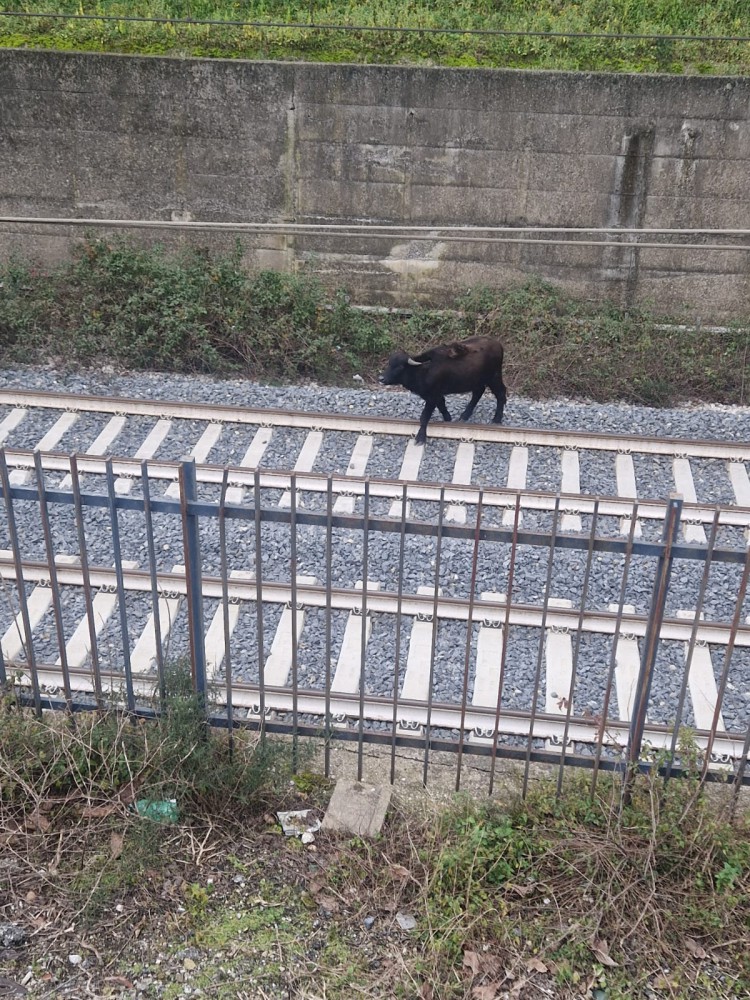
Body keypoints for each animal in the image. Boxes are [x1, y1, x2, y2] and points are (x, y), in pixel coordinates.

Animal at [378, 338, 508, 444]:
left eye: (400, 367)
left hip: (494, 377)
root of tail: (498, 344)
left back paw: (497, 419)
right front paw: (448, 419)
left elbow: (424, 416)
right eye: (389, 364)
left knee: (501, 394)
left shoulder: (432, 397)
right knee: (478, 392)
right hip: (477, 381)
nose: (381, 379)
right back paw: (464, 416)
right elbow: (442, 406)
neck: (423, 370)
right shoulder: (435, 395)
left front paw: (421, 437)